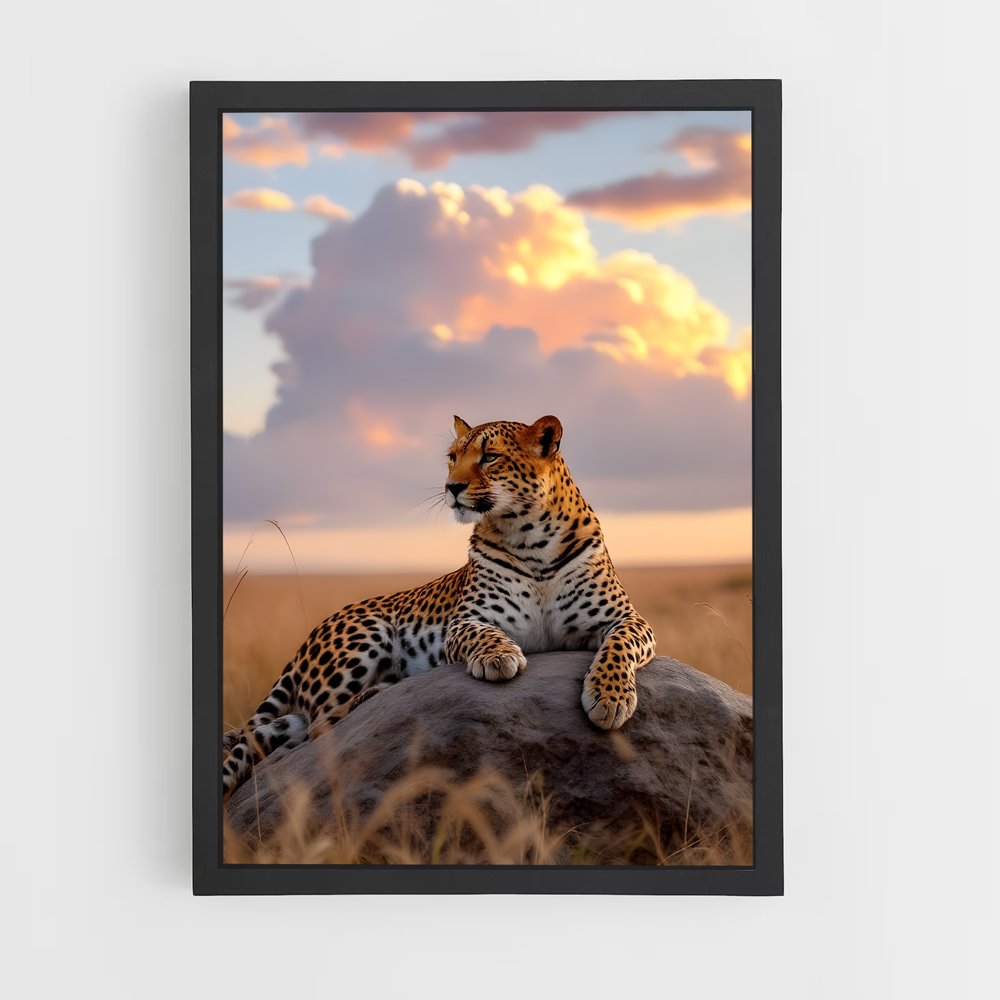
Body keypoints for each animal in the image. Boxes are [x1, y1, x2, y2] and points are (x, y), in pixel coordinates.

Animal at [222, 414, 657, 799]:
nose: (452, 487)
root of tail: (306, 641)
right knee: (320, 727)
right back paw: (376, 693)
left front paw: (611, 698)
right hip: (366, 634)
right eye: (452, 457)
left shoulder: (626, 618)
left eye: (490, 457)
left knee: (285, 728)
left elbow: (618, 647)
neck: (531, 538)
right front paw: (498, 658)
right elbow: (483, 634)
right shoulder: (467, 619)